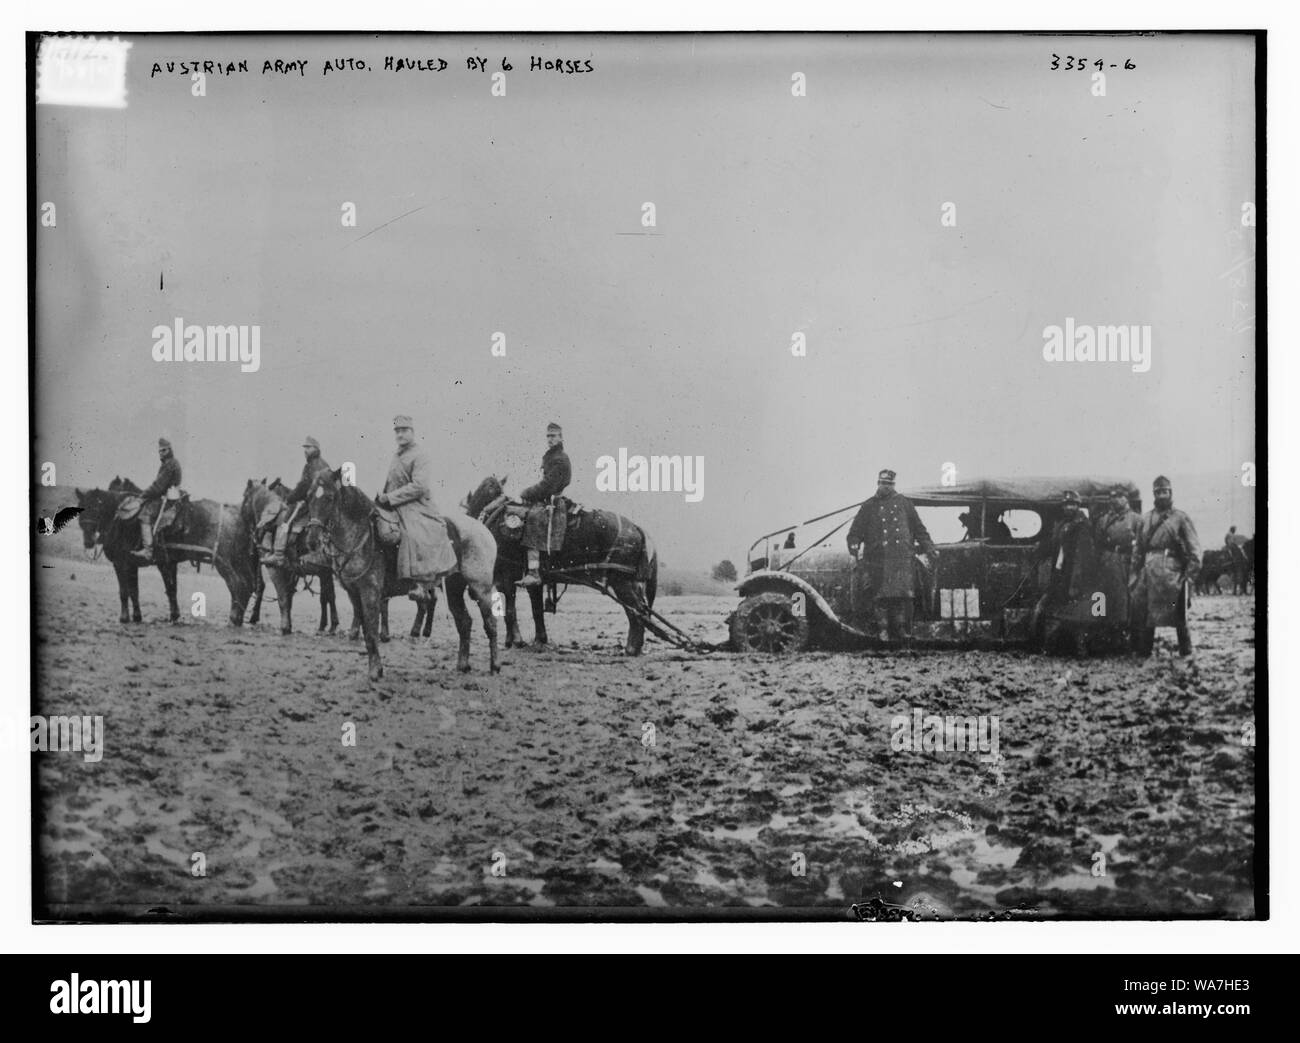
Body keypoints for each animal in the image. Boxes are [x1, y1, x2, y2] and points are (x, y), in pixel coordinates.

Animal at [76, 475, 261, 621]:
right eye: (80, 511)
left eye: (95, 507)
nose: (88, 542)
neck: (122, 521)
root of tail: (238, 515)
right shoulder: (148, 563)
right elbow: (142, 591)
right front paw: (140, 616)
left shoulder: (122, 563)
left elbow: (124, 591)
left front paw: (124, 618)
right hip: (240, 560)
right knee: (249, 585)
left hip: (224, 562)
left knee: (238, 584)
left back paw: (234, 618)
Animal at [239, 478, 340, 634]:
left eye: (245, 495)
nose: (241, 516)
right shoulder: (294, 571)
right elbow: (289, 595)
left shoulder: (274, 568)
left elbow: (282, 596)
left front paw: (285, 626)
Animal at [306, 468, 499, 676]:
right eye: (309, 498)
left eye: (329, 497)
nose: (312, 540)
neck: (361, 536)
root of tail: (483, 530)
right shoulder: (354, 594)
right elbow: (365, 630)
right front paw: (375, 667)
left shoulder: (370, 593)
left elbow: (371, 631)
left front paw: (375, 672)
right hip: (454, 586)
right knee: (464, 622)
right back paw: (463, 665)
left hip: (481, 588)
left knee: (490, 623)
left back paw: (495, 666)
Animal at [465, 470, 660, 650]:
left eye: (489, 489)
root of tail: (636, 527)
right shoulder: (528, 581)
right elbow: (535, 610)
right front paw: (537, 639)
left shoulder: (507, 577)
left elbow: (511, 610)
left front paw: (517, 641)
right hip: (629, 581)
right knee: (639, 610)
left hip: (621, 581)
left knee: (637, 611)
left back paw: (632, 648)